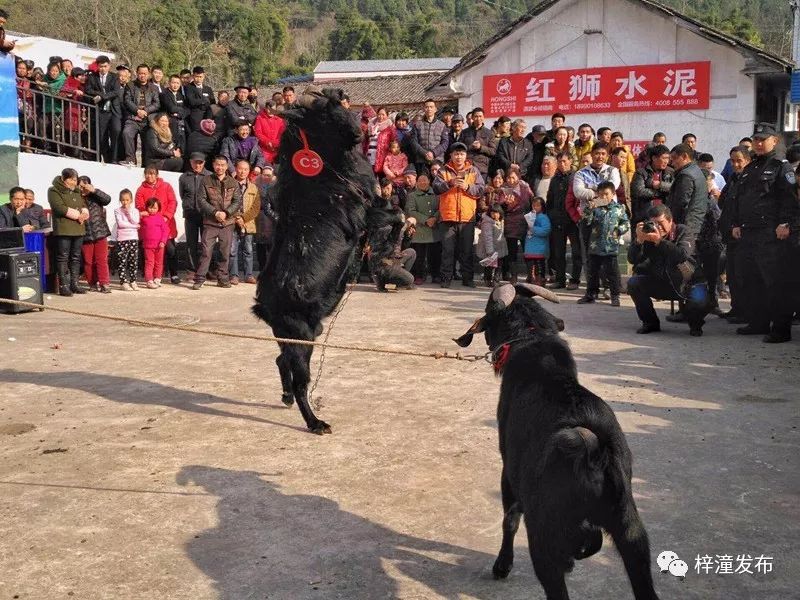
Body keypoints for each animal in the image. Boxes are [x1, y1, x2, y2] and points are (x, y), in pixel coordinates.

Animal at [253, 86, 378, 434]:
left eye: (339, 103)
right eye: (324, 114)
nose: (359, 131)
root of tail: (265, 308)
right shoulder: (364, 210)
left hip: (301, 334)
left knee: (281, 362)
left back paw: (285, 397)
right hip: (301, 336)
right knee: (300, 381)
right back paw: (315, 422)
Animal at [454, 284, 660, 600]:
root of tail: (591, 450)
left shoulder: (508, 471)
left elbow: (509, 519)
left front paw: (502, 565)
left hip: (543, 536)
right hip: (633, 535)